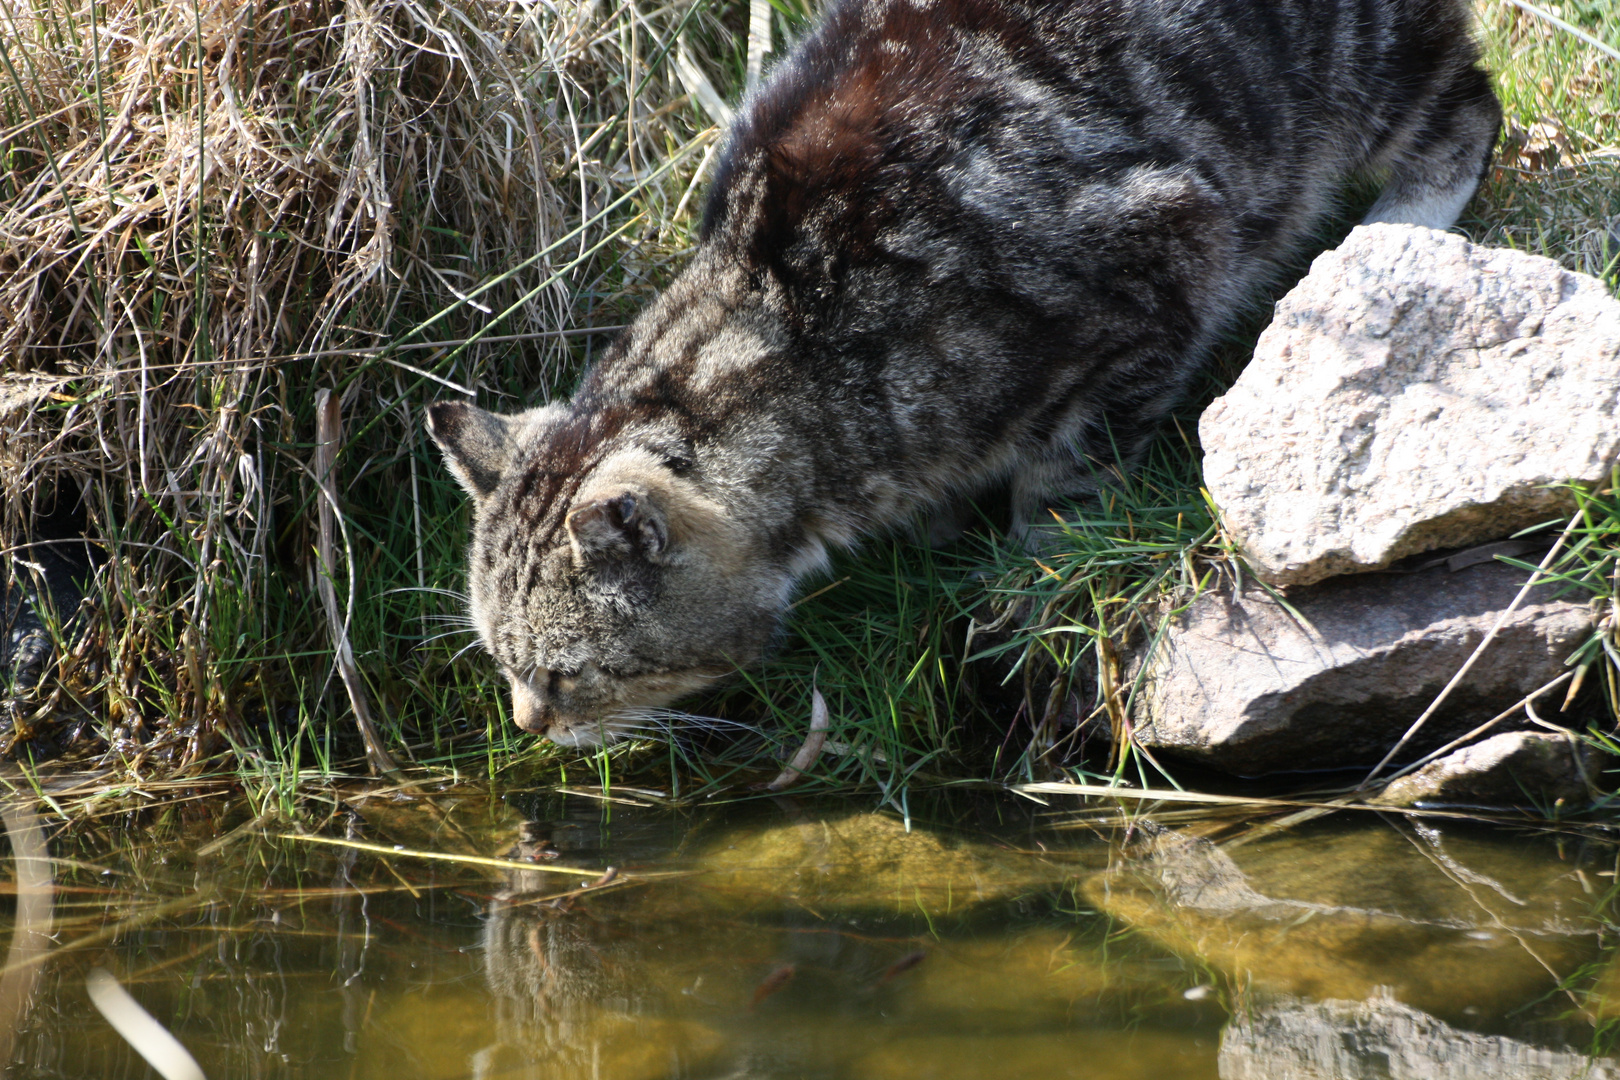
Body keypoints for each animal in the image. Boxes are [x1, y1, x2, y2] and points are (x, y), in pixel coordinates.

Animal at [424, 0, 1496, 744]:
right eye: (500, 662)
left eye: (567, 672)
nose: (526, 723)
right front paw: (943, 532)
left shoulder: (1166, 251)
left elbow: (1067, 477)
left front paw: (1035, 563)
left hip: (1349, 66)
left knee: (1464, 107)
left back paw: (1396, 229)